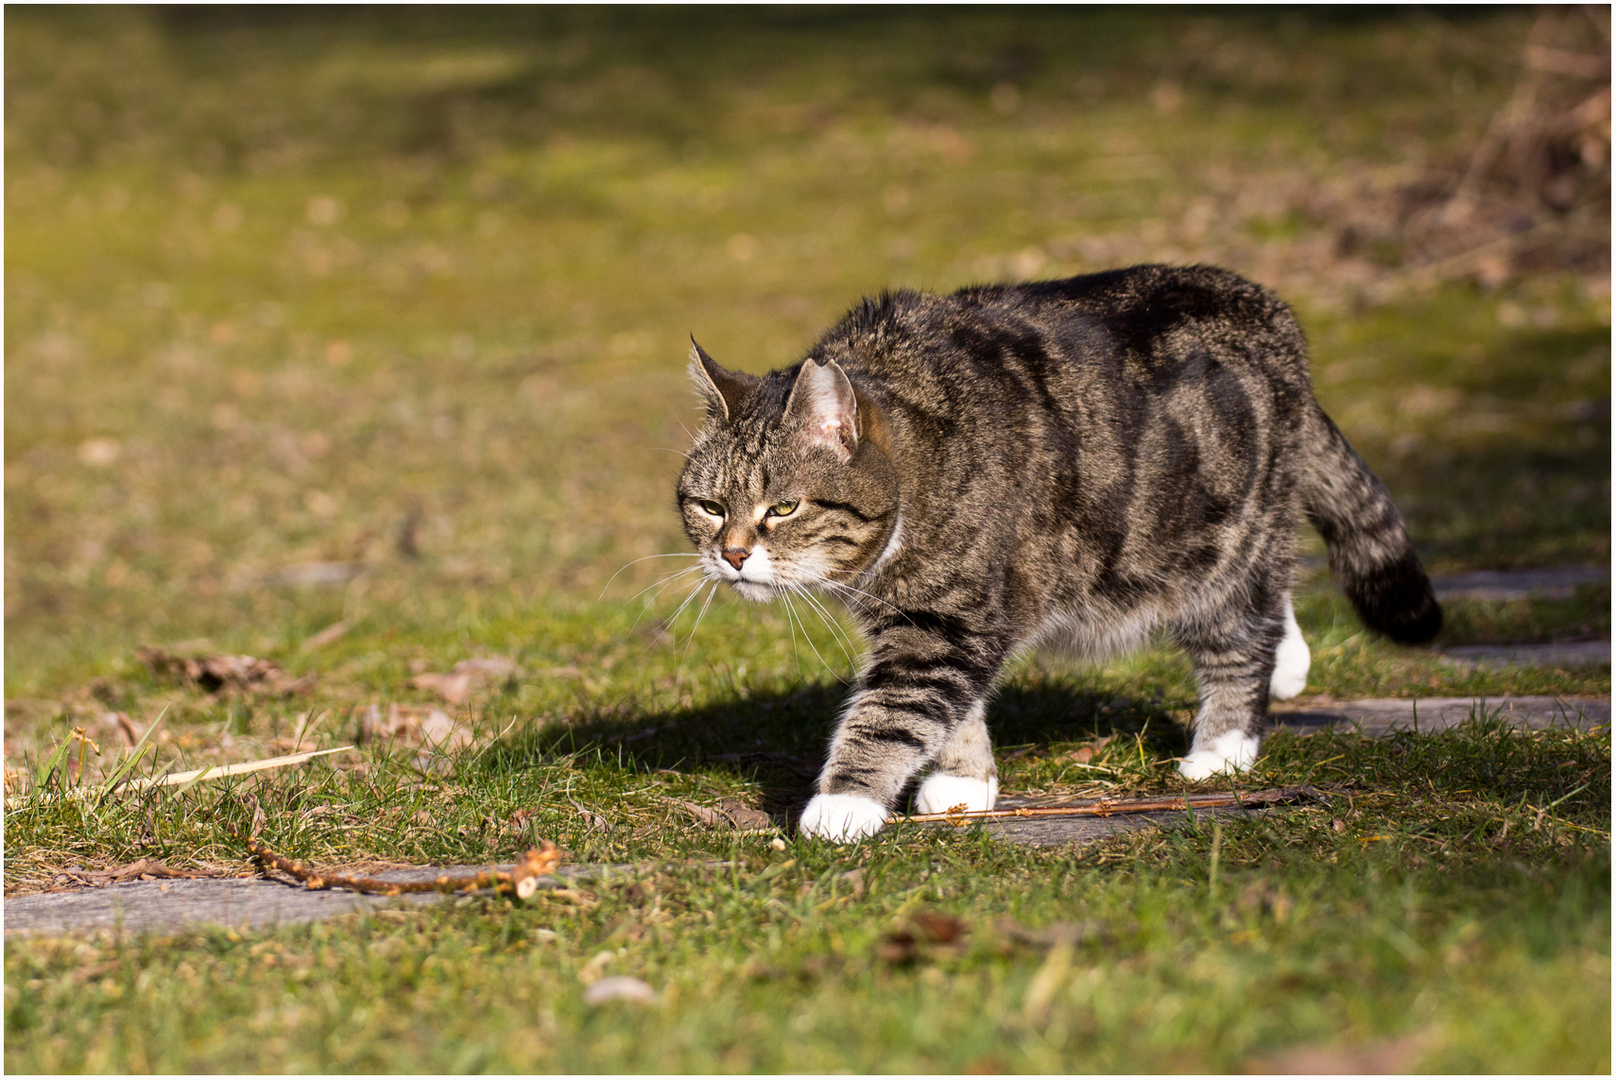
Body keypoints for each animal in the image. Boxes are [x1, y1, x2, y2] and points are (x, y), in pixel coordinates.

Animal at [672, 265, 1441, 840]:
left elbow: (894, 709)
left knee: (1241, 635)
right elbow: (955, 708)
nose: (731, 555)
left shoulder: (948, 620)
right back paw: (1290, 666)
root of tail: (1273, 314)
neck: (924, 457)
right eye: (709, 506)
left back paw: (1222, 749)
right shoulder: (940, 617)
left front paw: (844, 804)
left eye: (783, 508)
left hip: (1219, 542)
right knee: (1273, 600)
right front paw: (962, 780)